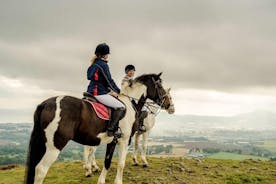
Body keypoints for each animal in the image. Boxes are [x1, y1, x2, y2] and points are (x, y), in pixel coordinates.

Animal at [24, 72, 170, 183]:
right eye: (159, 85)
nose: (167, 104)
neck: (130, 103)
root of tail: (45, 104)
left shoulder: (113, 141)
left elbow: (107, 161)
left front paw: (101, 180)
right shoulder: (125, 140)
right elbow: (121, 163)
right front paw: (119, 180)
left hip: (43, 143)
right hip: (54, 146)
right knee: (40, 170)